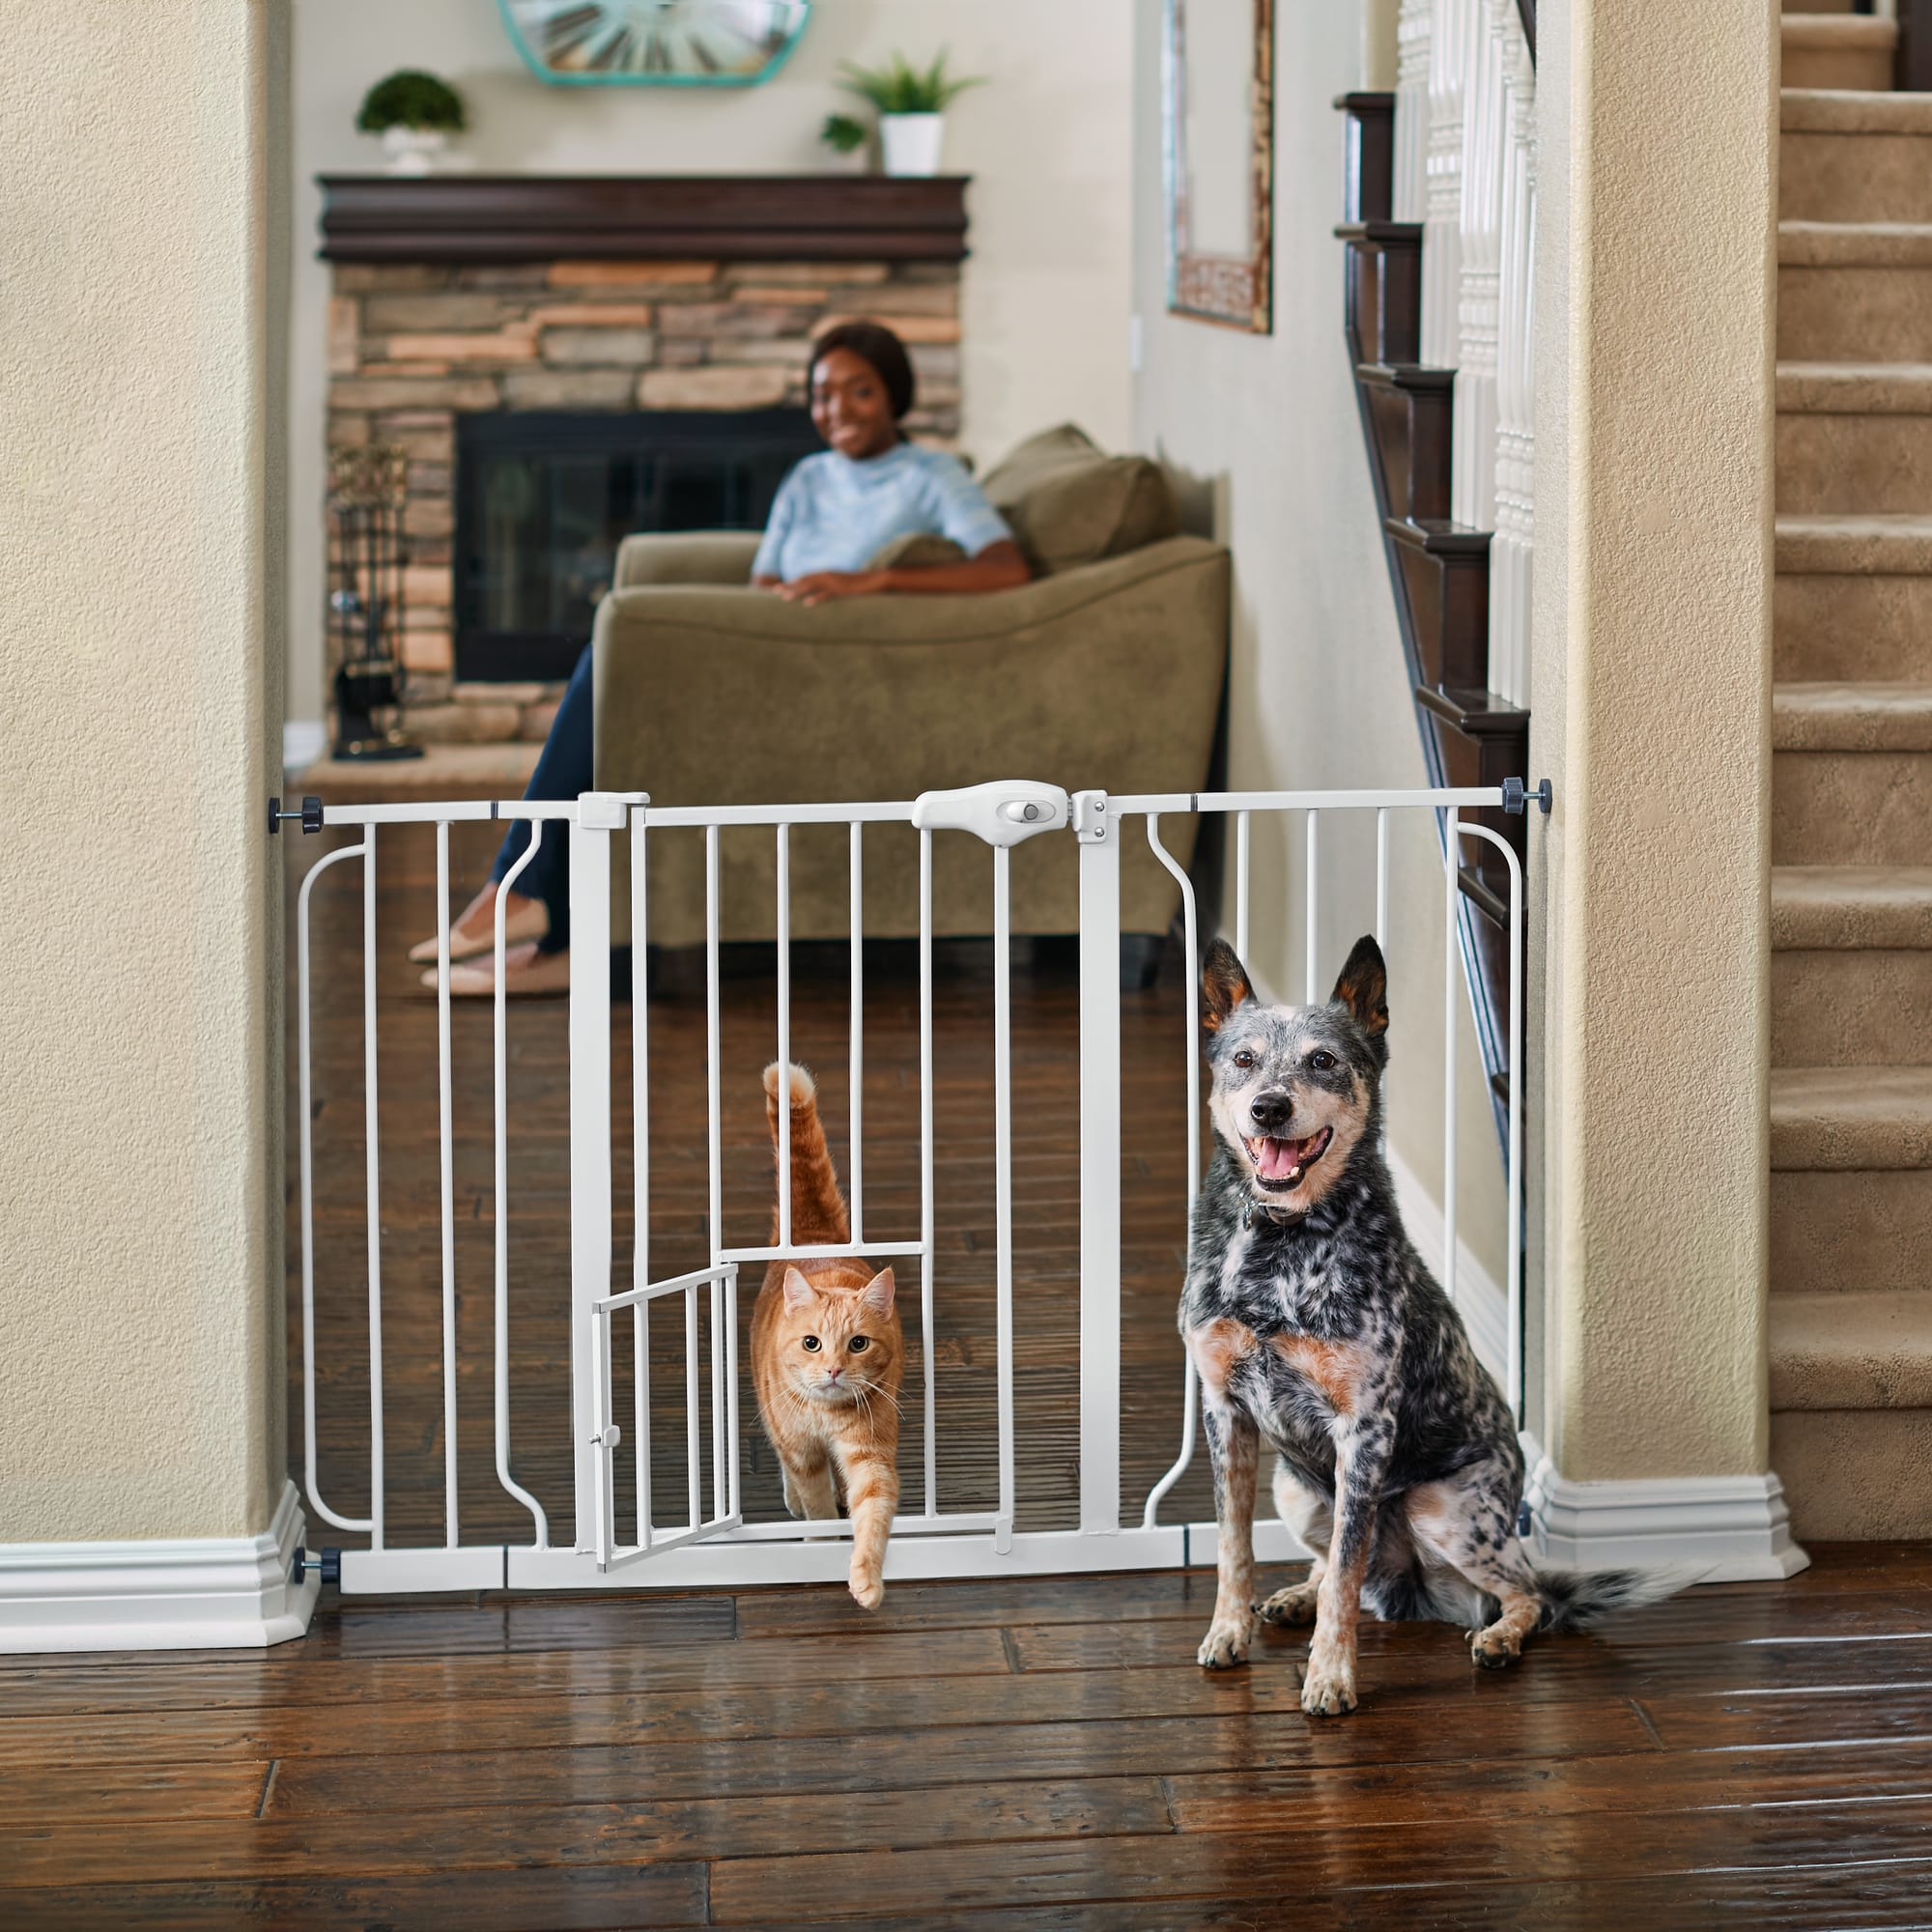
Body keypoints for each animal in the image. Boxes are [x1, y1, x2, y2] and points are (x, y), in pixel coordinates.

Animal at [753, 1066, 904, 1607]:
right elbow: (815, 1501)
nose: (835, 1369)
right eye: (812, 1343)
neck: (826, 1417)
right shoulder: (801, 1451)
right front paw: (818, 1544)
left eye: (858, 1344)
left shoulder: (870, 1453)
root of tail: (816, 1241)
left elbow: (872, 1511)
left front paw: (866, 1579)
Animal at [1167, 927, 1685, 1716]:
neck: (1281, 1246)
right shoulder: (1225, 1411)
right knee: (1332, 1566)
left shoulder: (1365, 1428)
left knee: (1527, 1594)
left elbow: (1346, 1571)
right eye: (1244, 1059)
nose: (1269, 1108)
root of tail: (1410, 1586)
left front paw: (1331, 1678)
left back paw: (1497, 1639)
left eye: (1323, 1061)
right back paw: (1294, 1597)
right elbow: (1234, 1547)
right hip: (1297, 1488)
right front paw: (1228, 1635)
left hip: (1446, 1511)